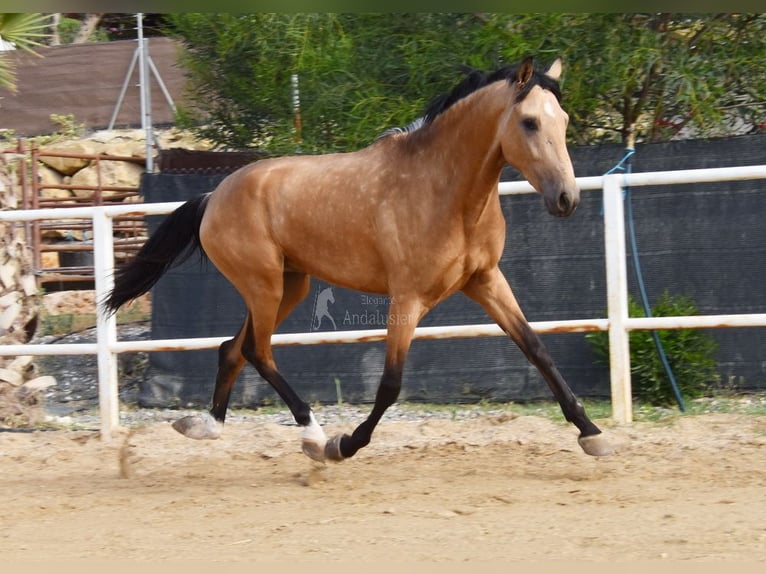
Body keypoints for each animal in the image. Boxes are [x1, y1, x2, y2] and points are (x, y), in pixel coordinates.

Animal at [105, 58, 616, 464]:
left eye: (563, 119)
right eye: (529, 122)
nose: (566, 199)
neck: (447, 191)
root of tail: (214, 196)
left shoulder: (487, 281)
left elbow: (537, 349)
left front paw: (592, 434)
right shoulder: (407, 297)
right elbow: (390, 383)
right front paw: (345, 445)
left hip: (290, 286)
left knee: (233, 348)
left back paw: (206, 426)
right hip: (264, 285)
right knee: (258, 351)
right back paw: (314, 435)